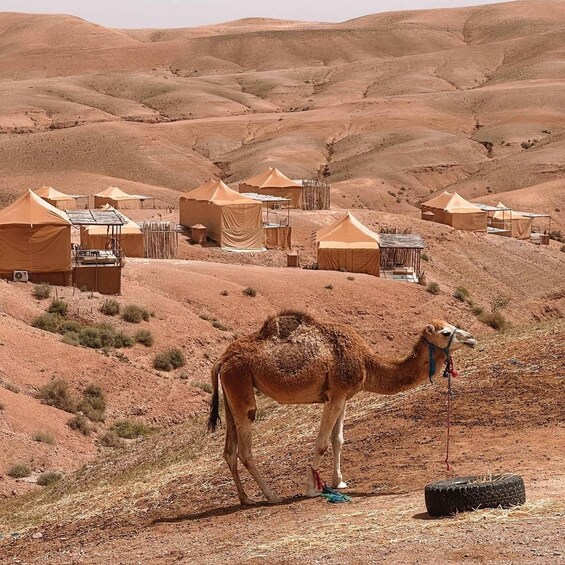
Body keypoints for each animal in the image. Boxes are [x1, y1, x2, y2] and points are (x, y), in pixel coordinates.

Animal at [205, 310, 474, 504]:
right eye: (446, 332)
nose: (471, 338)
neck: (366, 362)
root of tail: (222, 359)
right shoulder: (334, 395)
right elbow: (322, 443)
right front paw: (312, 489)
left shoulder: (343, 396)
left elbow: (338, 439)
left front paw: (338, 482)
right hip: (240, 383)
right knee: (245, 448)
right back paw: (271, 496)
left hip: (232, 391)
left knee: (229, 450)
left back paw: (245, 498)